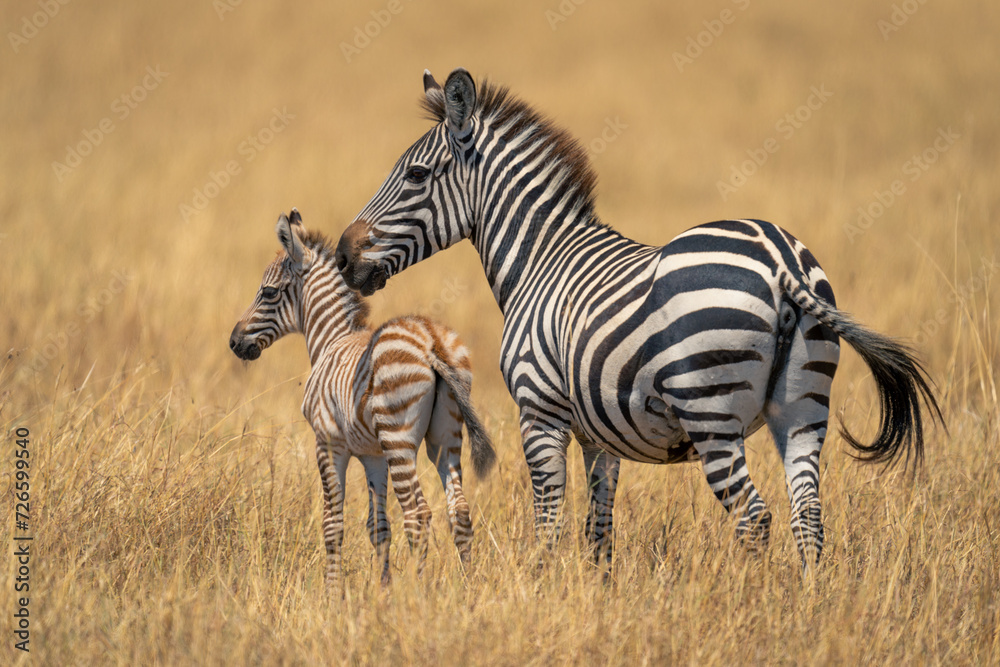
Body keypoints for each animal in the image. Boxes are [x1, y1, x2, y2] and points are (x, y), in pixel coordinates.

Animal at [230, 209, 496, 588]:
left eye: (267, 292)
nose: (234, 342)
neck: (331, 339)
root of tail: (431, 342)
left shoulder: (328, 443)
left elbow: (332, 525)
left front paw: (333, 593)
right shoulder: (373, 456)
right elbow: (378, 528)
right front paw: (382, 590)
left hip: (400, 439)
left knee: (418, 514)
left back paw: (418, 593)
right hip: (446, 438)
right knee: (458, 511)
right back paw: (468, 587)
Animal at [334, 68, 943, 573]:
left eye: (415, 174)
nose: (342, 255)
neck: (540, 258)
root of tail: (780, 262)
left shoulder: (539, 410)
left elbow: (549, 520)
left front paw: (540, 590)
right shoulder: (600, 430)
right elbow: (598, 528)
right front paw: (597, 592)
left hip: (710, 411)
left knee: (755, 518)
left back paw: (753, 602)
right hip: (803, 406)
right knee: (807, 515)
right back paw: (806, 607)